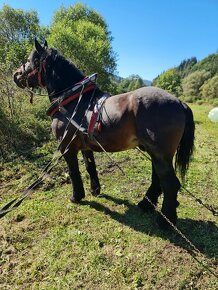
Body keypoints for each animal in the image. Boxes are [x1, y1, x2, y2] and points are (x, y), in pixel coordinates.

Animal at [13, 39, 194, 229]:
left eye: (29, 60)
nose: (16, 75)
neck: (73, 101)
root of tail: (179, 102)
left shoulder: (67, 147)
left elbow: (73, 171)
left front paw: (76, 196)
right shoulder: (85, 146)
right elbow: (89, 167)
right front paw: (95, 190)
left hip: (160, 155)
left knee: (170, 184)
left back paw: (165, 221)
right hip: (155, 154)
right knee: (157, 180)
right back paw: (145, 204)